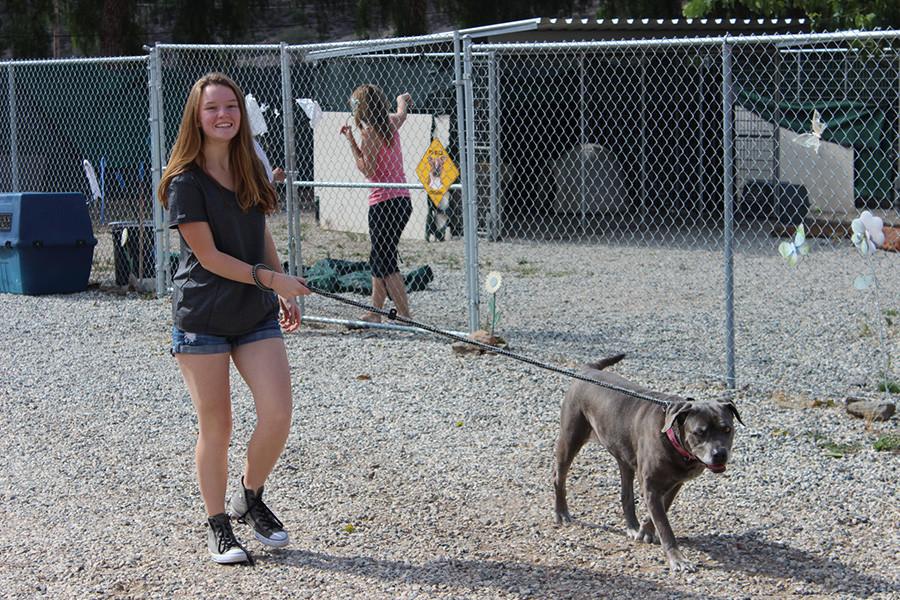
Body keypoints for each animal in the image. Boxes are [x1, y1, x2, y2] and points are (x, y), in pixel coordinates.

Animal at [552, 354, 740, 576]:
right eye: (699, 432)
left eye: (727, 429)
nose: (720, 454)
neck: (672, 437)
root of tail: (588, 369)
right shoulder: (651, 485)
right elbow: (665, 525)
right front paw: (678, 559)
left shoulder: (675, 483)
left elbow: (662, 509)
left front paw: (645, 531)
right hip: (570, 439)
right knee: (559, 476)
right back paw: (562, 512)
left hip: (624, 456)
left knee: (626, 494)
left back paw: (632, 526)